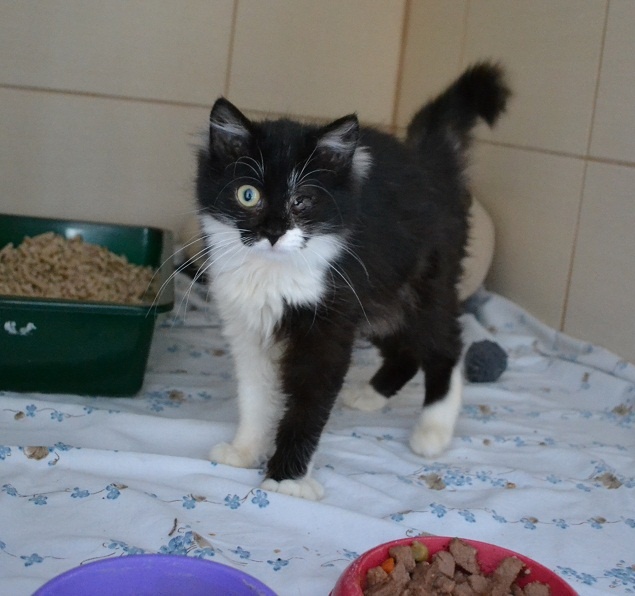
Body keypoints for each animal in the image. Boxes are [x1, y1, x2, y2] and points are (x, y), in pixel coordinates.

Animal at [194, 62, 510, 500]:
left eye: (302, 201)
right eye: (248, 195)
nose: (273, 231)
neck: (271, 271)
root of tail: (428, 162)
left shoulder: (328, 324)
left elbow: (308, 404)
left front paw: (286, 479)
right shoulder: (247, 325)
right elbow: (255, 395)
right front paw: (244, 450)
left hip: (423, 285)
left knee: (446, 346)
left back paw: (433, 430)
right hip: (379, 298)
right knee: (405, 350)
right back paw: (370, 396)